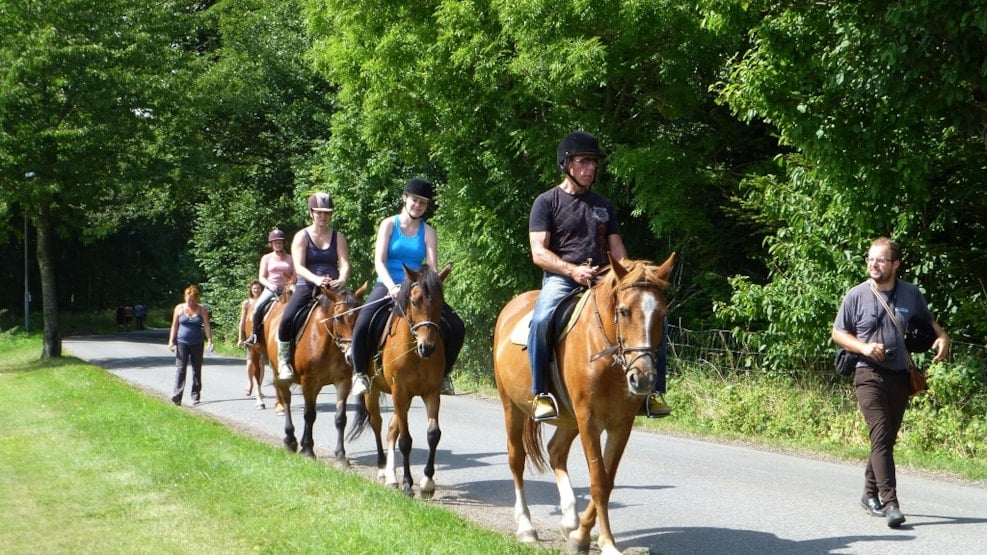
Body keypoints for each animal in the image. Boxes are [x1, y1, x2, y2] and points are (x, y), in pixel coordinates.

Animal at [256, 284, 368, 462]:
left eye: (359, 316)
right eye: (338, 318)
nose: (351, 356)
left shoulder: (343, 382)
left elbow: (340, 418)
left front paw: (341, 455)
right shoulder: (308, 381)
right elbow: (309, 414)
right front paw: (308, 450)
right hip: (280, 375)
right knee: (287, 401)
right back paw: (290, 440)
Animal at [348, 264, 452, 500]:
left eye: (441, 302)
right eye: (414, 301)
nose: (427, 347)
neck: (414, 353)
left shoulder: (431, 393)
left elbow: (433, 434)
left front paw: (427, 483)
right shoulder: (400, 392)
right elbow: (405, 440)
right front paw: (407, 484)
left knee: (390, 429)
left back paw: (391, 476)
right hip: (375, 392)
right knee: (377, 423)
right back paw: (382, 470)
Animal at [492, 254, 672, 552]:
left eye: (662, 314)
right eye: (624, 311)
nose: (643, 378)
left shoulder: (621, 425)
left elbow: (607, 480)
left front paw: (581, 534)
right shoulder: (589, 420)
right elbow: (598, 480)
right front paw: (605, 543)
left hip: (568, 419)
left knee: (555, 452)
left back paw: (569, 521)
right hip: (512, 407)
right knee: (516, 459)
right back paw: (526, 527)